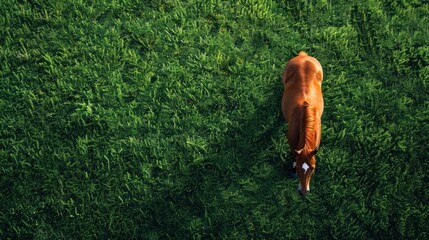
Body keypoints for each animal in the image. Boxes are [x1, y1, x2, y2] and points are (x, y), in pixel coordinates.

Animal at [280, 51, 322, 196]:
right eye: (298, 167)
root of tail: (303, 56)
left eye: (313, 168)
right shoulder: (292, 145)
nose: (303, 192)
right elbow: (294, 156)